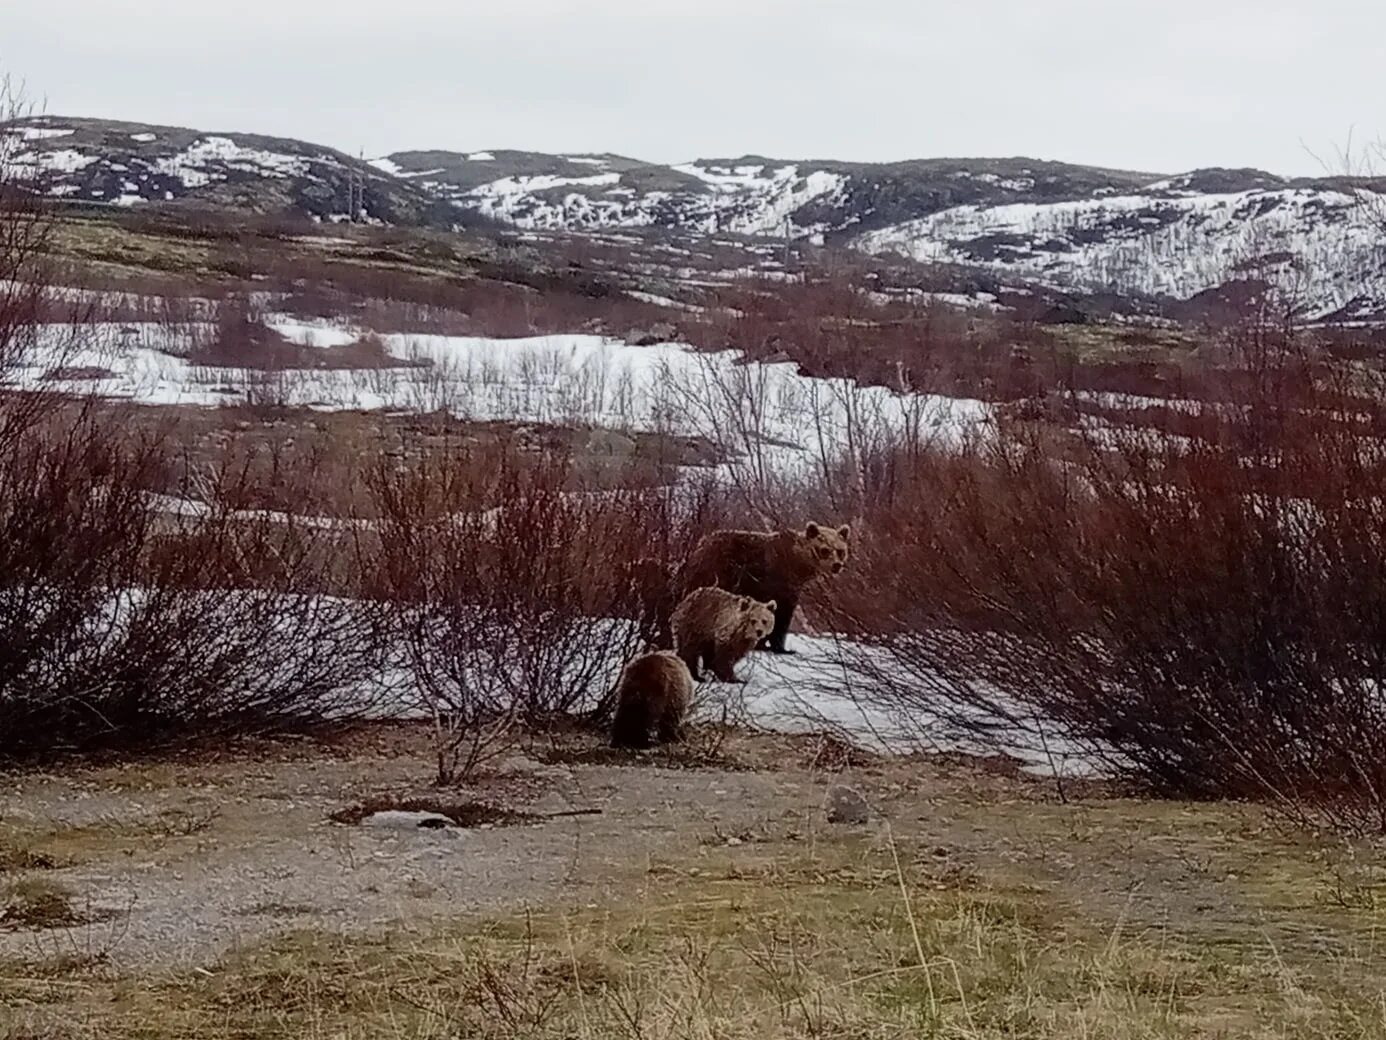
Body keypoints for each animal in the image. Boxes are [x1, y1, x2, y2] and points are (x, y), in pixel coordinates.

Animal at [676, 524, 848, 654]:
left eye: (840, 550)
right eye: (825, 549)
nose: (837, 565)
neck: (798, 566)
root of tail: (698, 548)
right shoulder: (777, 581)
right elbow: (781, 616)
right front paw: (780, 647)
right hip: (717, 572)